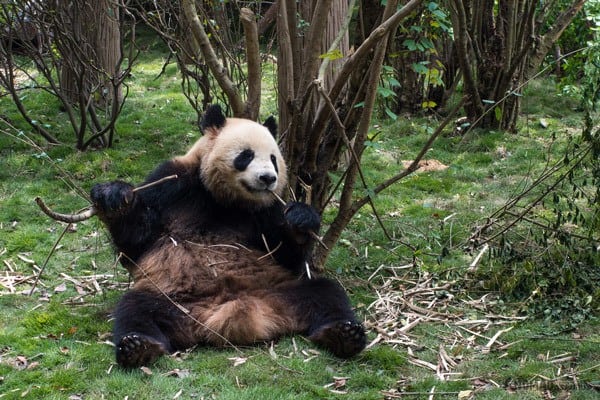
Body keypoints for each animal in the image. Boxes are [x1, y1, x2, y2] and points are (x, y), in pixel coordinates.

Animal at [90, 105, 366, 368]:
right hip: (172, 298)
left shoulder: (268, 210)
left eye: (274, 159)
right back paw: (139, 346)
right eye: (246, 155)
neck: (226, 199)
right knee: (136, 308)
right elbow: (137, 243)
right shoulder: (171, 184)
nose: (268, 178)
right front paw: (114, 197)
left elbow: (287, 254)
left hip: (280, 289)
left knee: (326, 293)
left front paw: (301, 219)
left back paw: (344, 334)